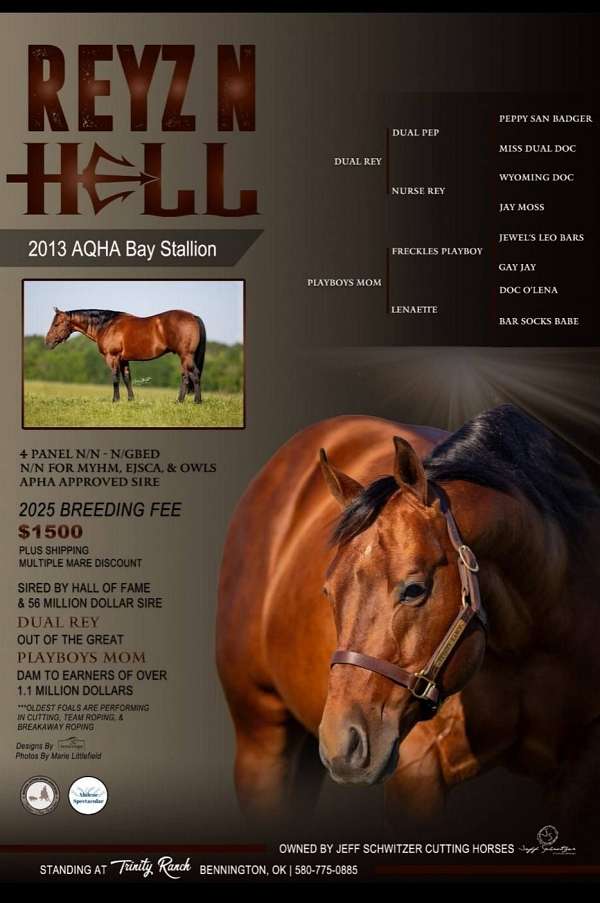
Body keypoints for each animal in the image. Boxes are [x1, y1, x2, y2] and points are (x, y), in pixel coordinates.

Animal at [44, 307, 206, 403]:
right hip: (183, 357)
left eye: (56, 324)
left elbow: (115, 378)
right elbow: (127, 378)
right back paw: (179, 401)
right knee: (185, 376)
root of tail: (193, 316)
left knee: (194, 375)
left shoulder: (112, 357)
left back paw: (196, 401)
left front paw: (115, 400)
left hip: (186, 355)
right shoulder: (124, 360)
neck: (107, 325)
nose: (47, 342)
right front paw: (130, 400)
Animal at [217, 405, 600, 836]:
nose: (343, 743)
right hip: (262, 742)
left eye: (414, 589)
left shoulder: (581, 775)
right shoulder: (417, 773)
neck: (529, 640)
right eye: (328, 591)